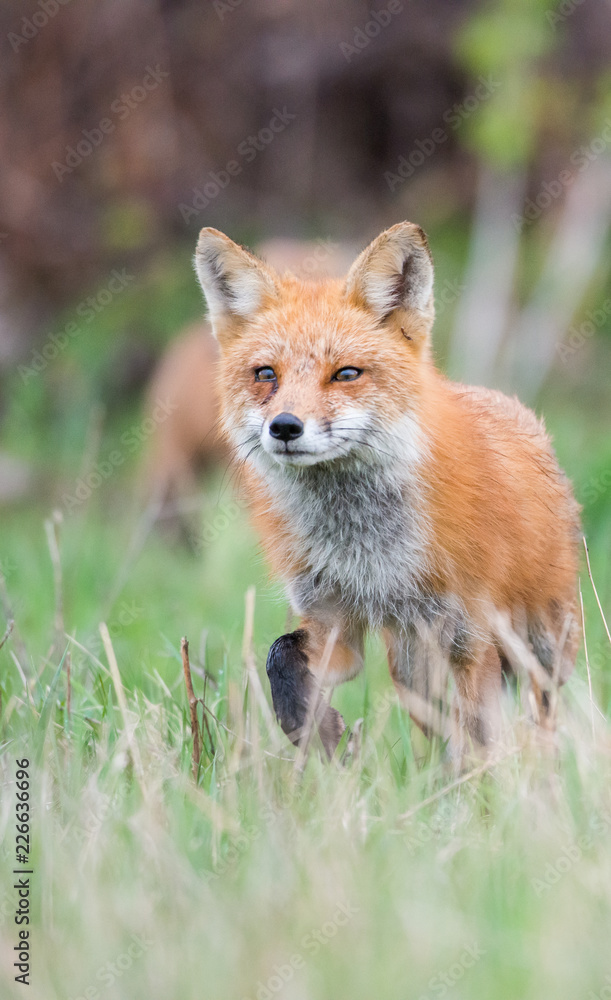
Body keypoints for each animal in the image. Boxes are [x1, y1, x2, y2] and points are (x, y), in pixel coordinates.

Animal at [194, 223, 580, 760]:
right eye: (266, 375)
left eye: (346, 374)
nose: (285, 427)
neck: (368, 552)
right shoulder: (332, 620)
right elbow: (280, 655)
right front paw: (316, 730)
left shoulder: (470, 634)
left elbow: (484, 739)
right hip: (414, 667)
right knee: (441, 726)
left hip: (541, 644)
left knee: (539, 713)